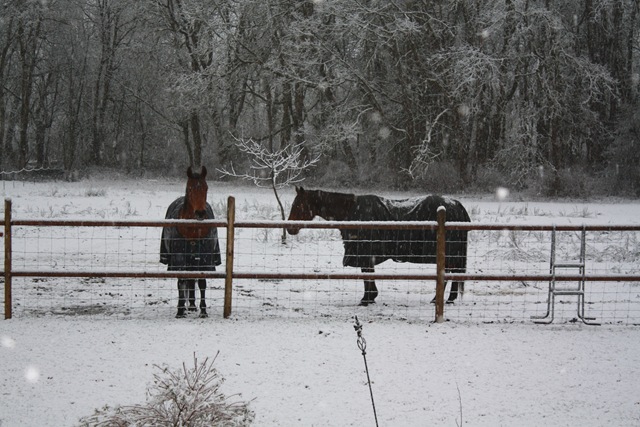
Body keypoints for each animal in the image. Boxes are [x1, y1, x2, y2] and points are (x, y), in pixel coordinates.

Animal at [160, 166, 221, 318]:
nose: (200, 213)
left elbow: (201, 282)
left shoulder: (204, 258)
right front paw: (180, 310)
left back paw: (193, 305)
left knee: (192, 280)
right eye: (189, 188)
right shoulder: (179, 258)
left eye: (206, 188)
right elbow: (182, 281)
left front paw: (203, 311)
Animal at [286, 187, 470, 306]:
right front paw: (370, 297)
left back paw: (445, 298)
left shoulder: (364, 253)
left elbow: (367, 274)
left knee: (450, 273)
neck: (352, 212)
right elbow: (368, 274)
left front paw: (367, 298)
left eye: (298, 205)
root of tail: (457, 205)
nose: (290, 228)